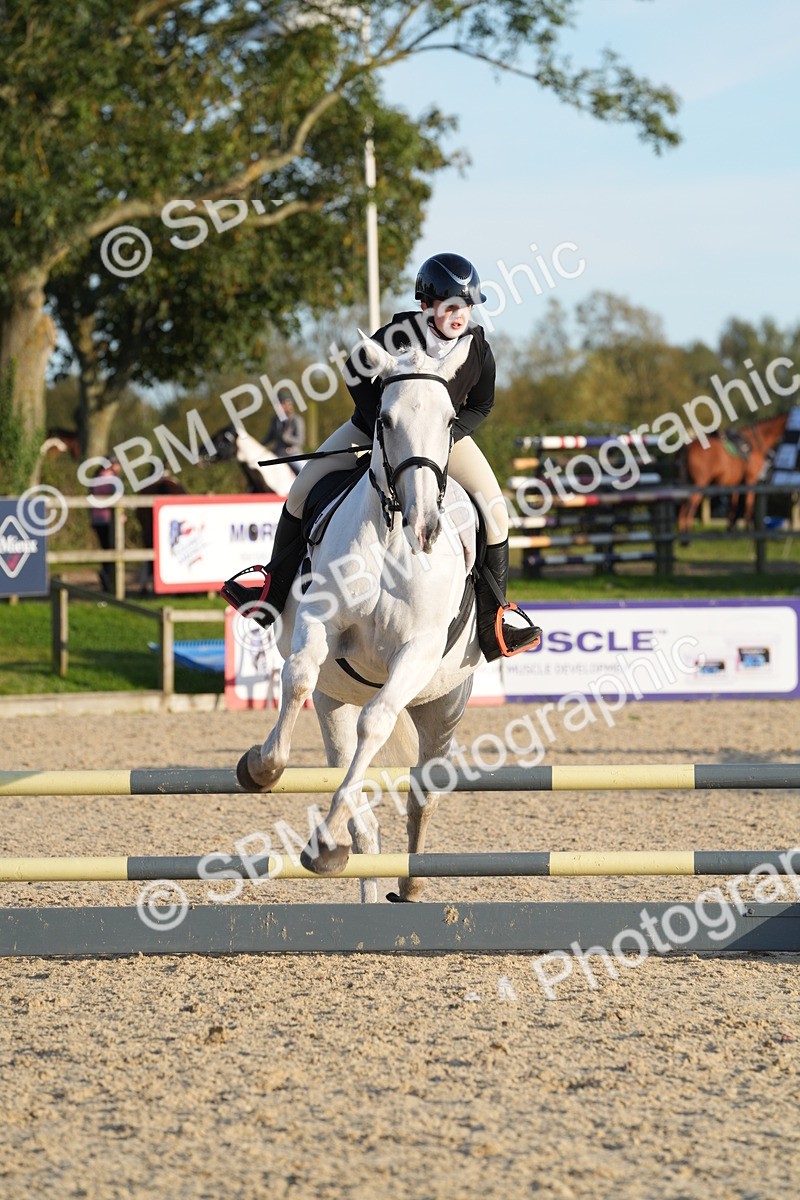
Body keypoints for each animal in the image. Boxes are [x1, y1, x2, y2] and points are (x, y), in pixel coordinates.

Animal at [235, 334, 483, 904]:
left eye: (450, 421)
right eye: (384, 419)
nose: (425, 525)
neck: (392, 539)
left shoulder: (417, 652)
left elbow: (379, 721)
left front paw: (323, 840)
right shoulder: (321, 622)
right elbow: (298, 676)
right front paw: (263, 767)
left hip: (445, 706)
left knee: (422, 794)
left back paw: (410, 882)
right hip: (335, 704)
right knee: (362, 812)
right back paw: (348, 858)